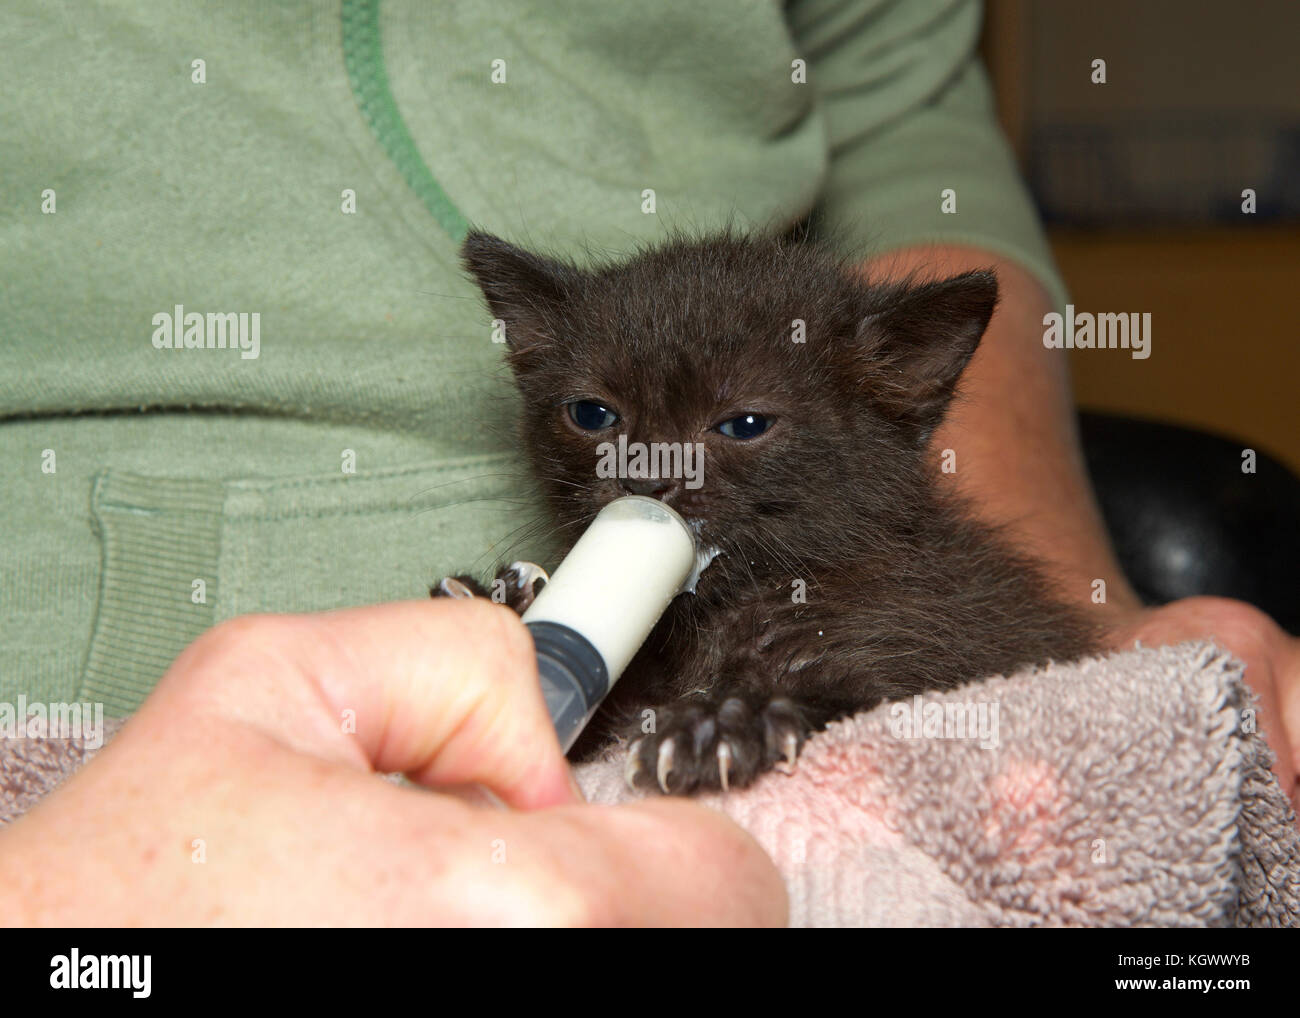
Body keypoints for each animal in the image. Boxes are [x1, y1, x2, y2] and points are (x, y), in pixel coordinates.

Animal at [436, 231, 1097, 795]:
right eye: (592, 414)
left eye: (745, 424)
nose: (646, 480)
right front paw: (497, 604)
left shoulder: (934, 655)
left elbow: (859, 698)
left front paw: (722, 722)